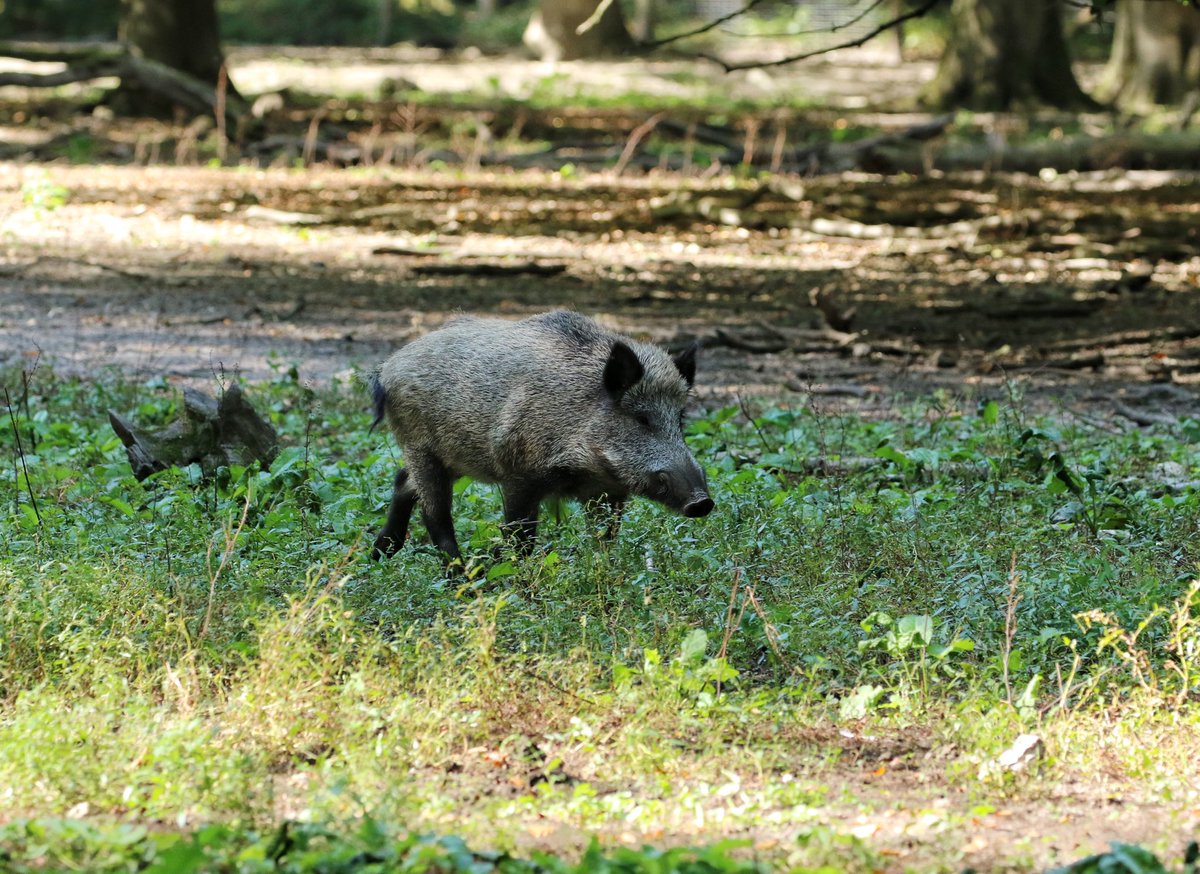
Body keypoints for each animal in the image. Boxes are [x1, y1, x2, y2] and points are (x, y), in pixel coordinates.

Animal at [369, 310, 713, 562]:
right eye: (641, 418)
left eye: (680, 418)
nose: (702, 502)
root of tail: (387, 367)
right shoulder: (519, 474)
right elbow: (520, 537)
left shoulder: (608, 492)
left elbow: (605, 537)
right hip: (421, 446)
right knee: (435, 516)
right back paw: (462, 580)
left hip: (452, 457)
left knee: (403, 481)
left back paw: (379, 555)